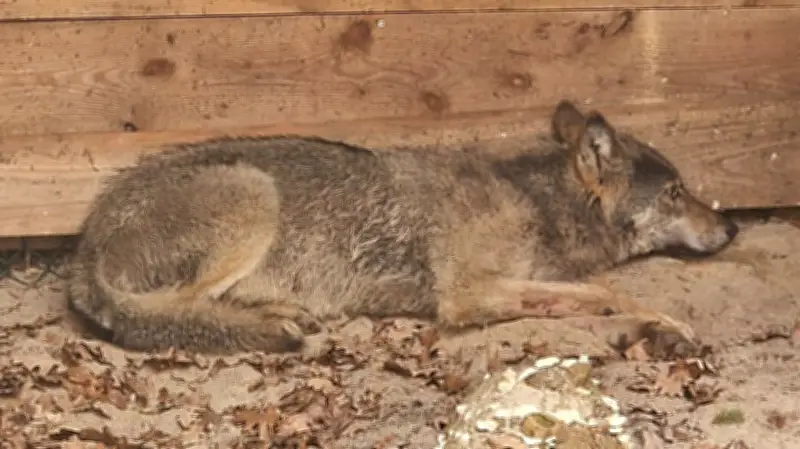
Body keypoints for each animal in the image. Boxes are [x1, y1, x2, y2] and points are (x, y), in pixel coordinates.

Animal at [66, 100, 739, 355]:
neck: (536, 202)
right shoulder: (466, 295)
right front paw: (667, 324)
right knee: (172, 312)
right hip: (254, 194)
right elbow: (606, 292)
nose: (732, 228)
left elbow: (592, 292)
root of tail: (86, 242)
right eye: (676, 192)